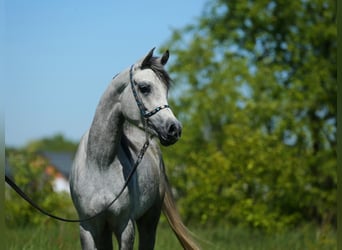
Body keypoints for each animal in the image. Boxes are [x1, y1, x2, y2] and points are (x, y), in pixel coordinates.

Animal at [69, 47, 199, 250]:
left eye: (166, 90)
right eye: (145, 88)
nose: (174, 129)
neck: (100, 163)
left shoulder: (125, 226)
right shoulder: (88, 228)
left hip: (149, 220)